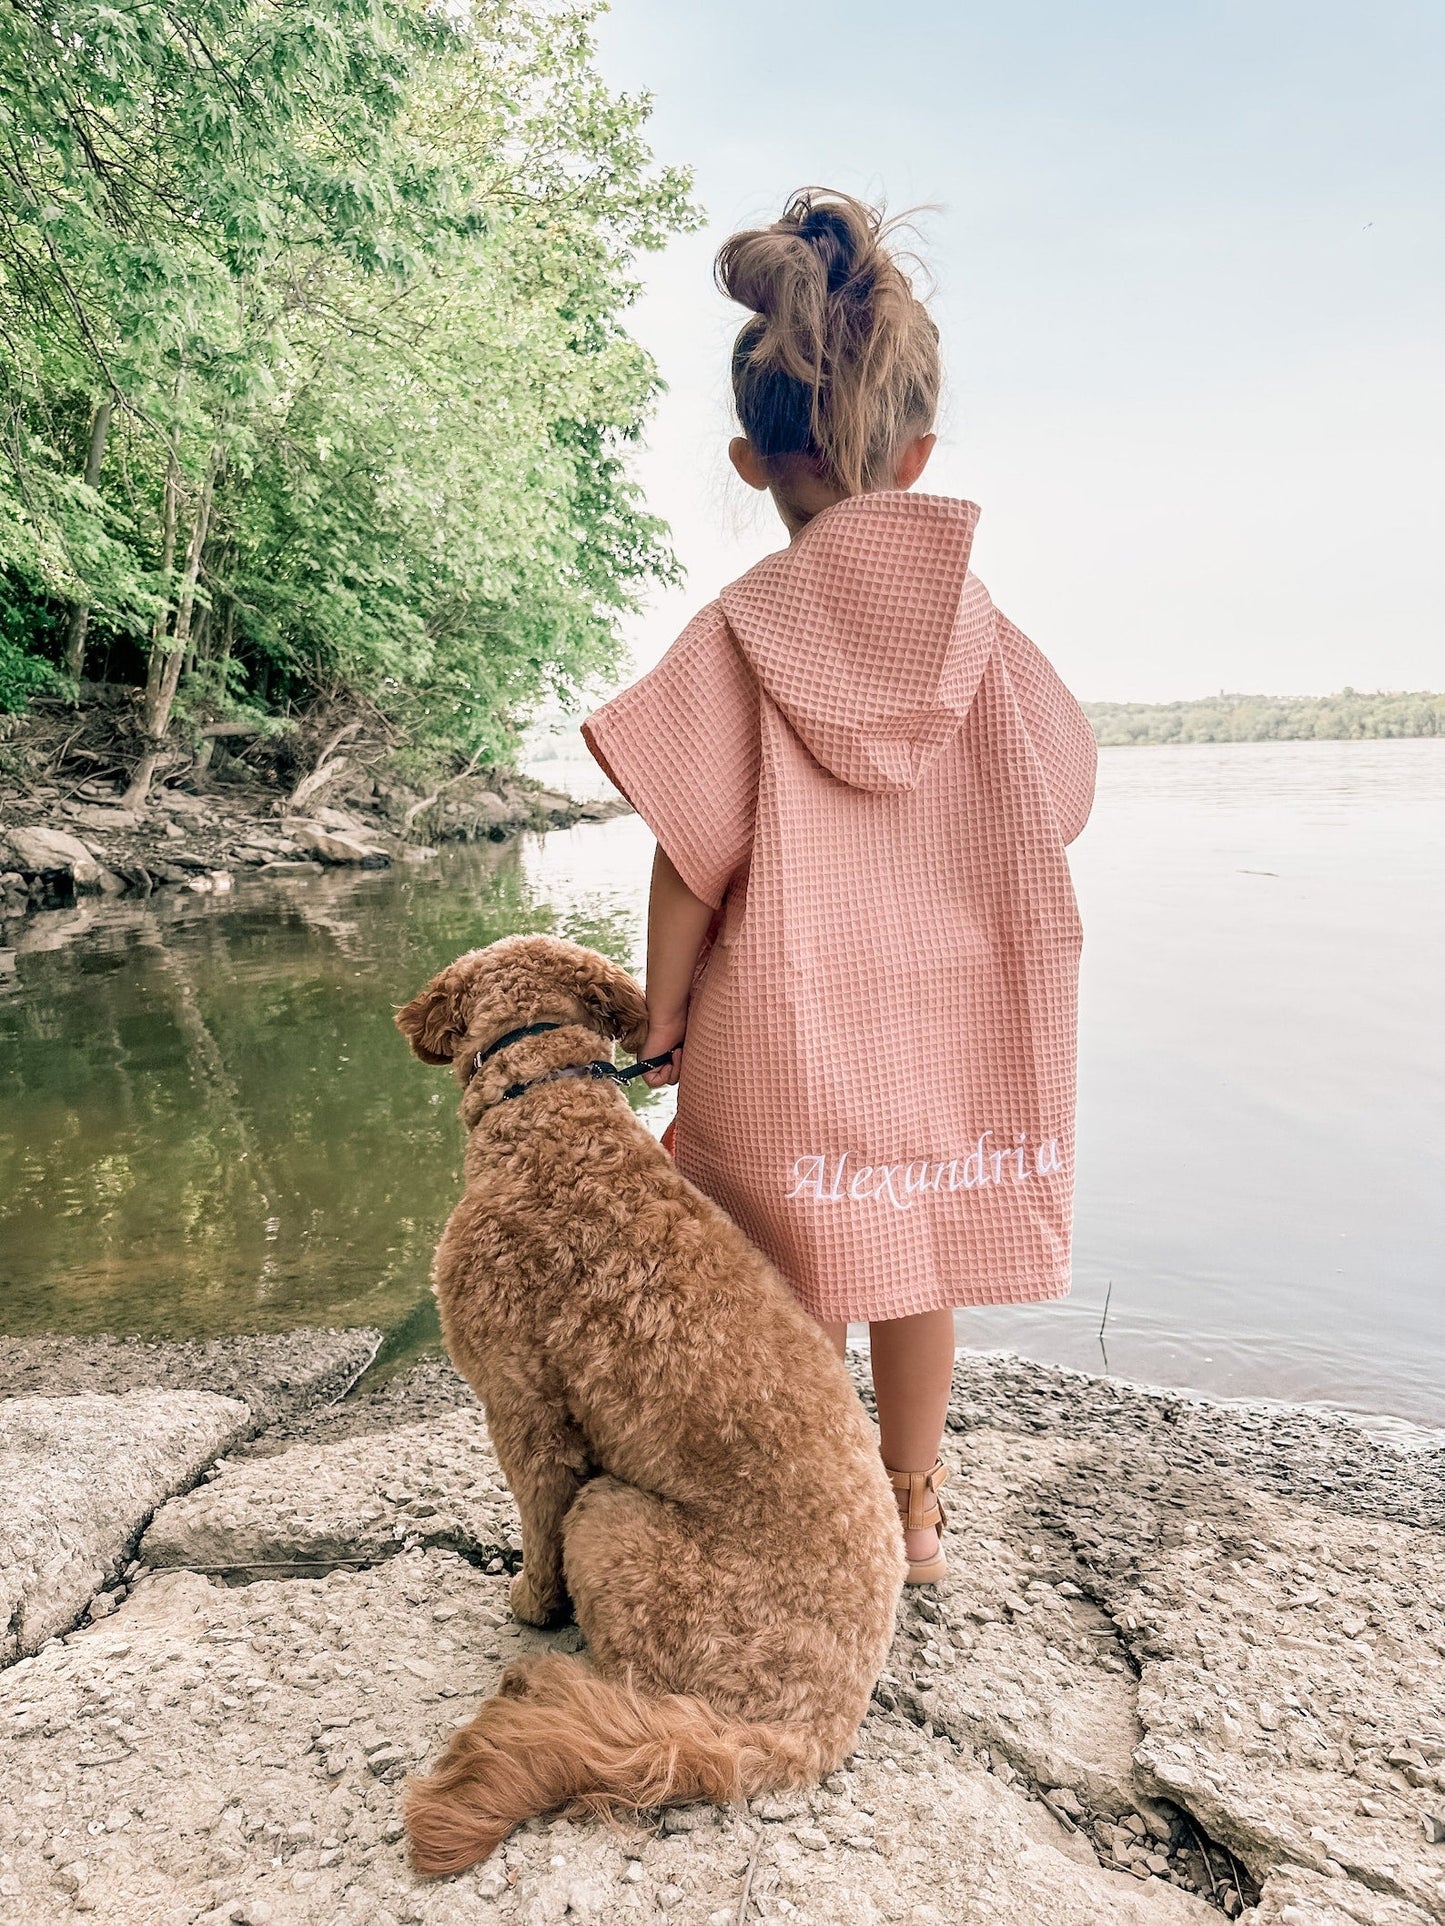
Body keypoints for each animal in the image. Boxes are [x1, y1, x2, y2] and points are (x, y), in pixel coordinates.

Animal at [396, 939, 905, 1872]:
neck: (549, 1111)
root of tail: (808, 1734)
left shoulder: (522, 1407)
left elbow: (536, 1527)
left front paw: (531, 1603)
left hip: (613, 1523)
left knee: (630, 1687)